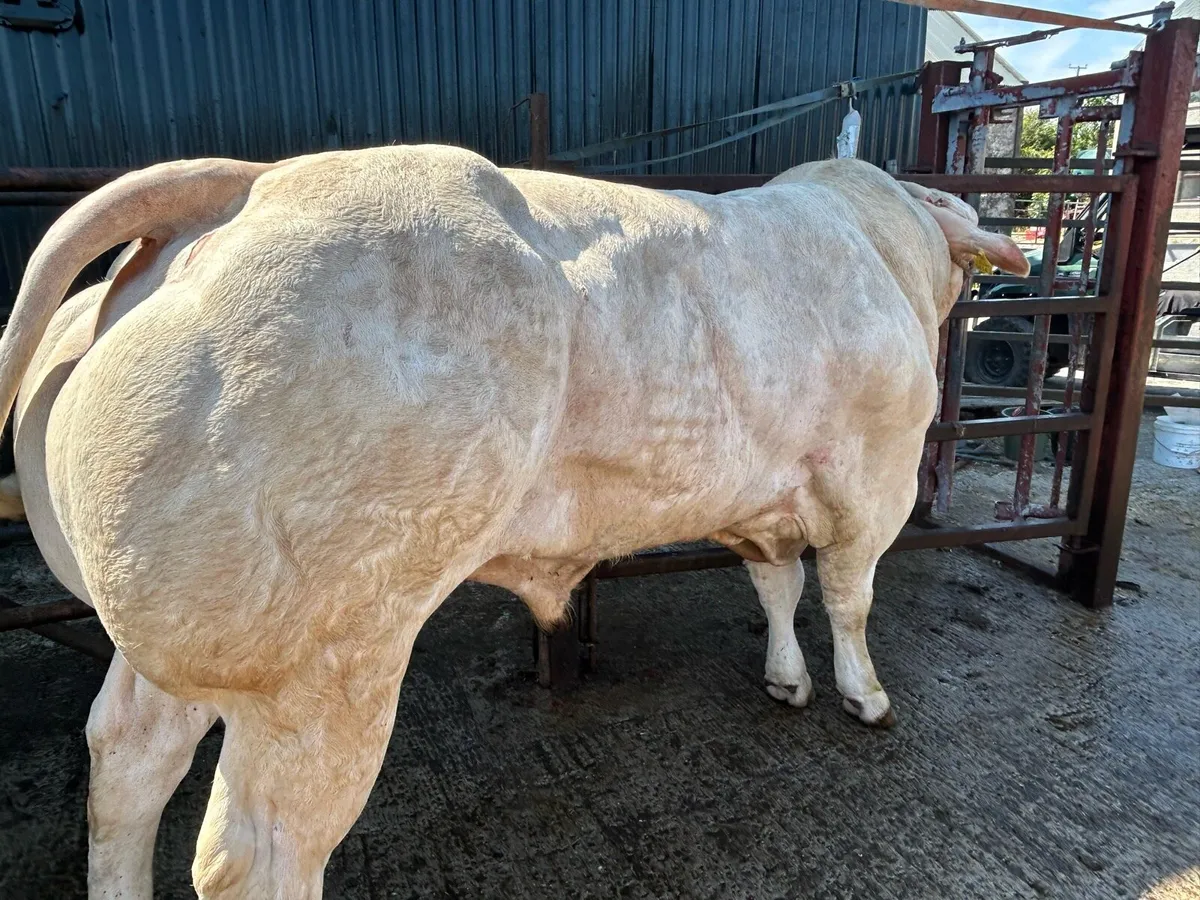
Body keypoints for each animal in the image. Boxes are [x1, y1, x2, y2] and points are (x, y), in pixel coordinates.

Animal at [0, 147, 1028, 898]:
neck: (879, 248)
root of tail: (251, 183)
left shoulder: (760, 501)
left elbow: (774, 582)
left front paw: (786, 678)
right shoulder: (874, 479)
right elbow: (849, 597)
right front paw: (864, 694)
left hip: (193, 640)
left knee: (125, 760)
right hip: (326, 663)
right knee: (257, 855)